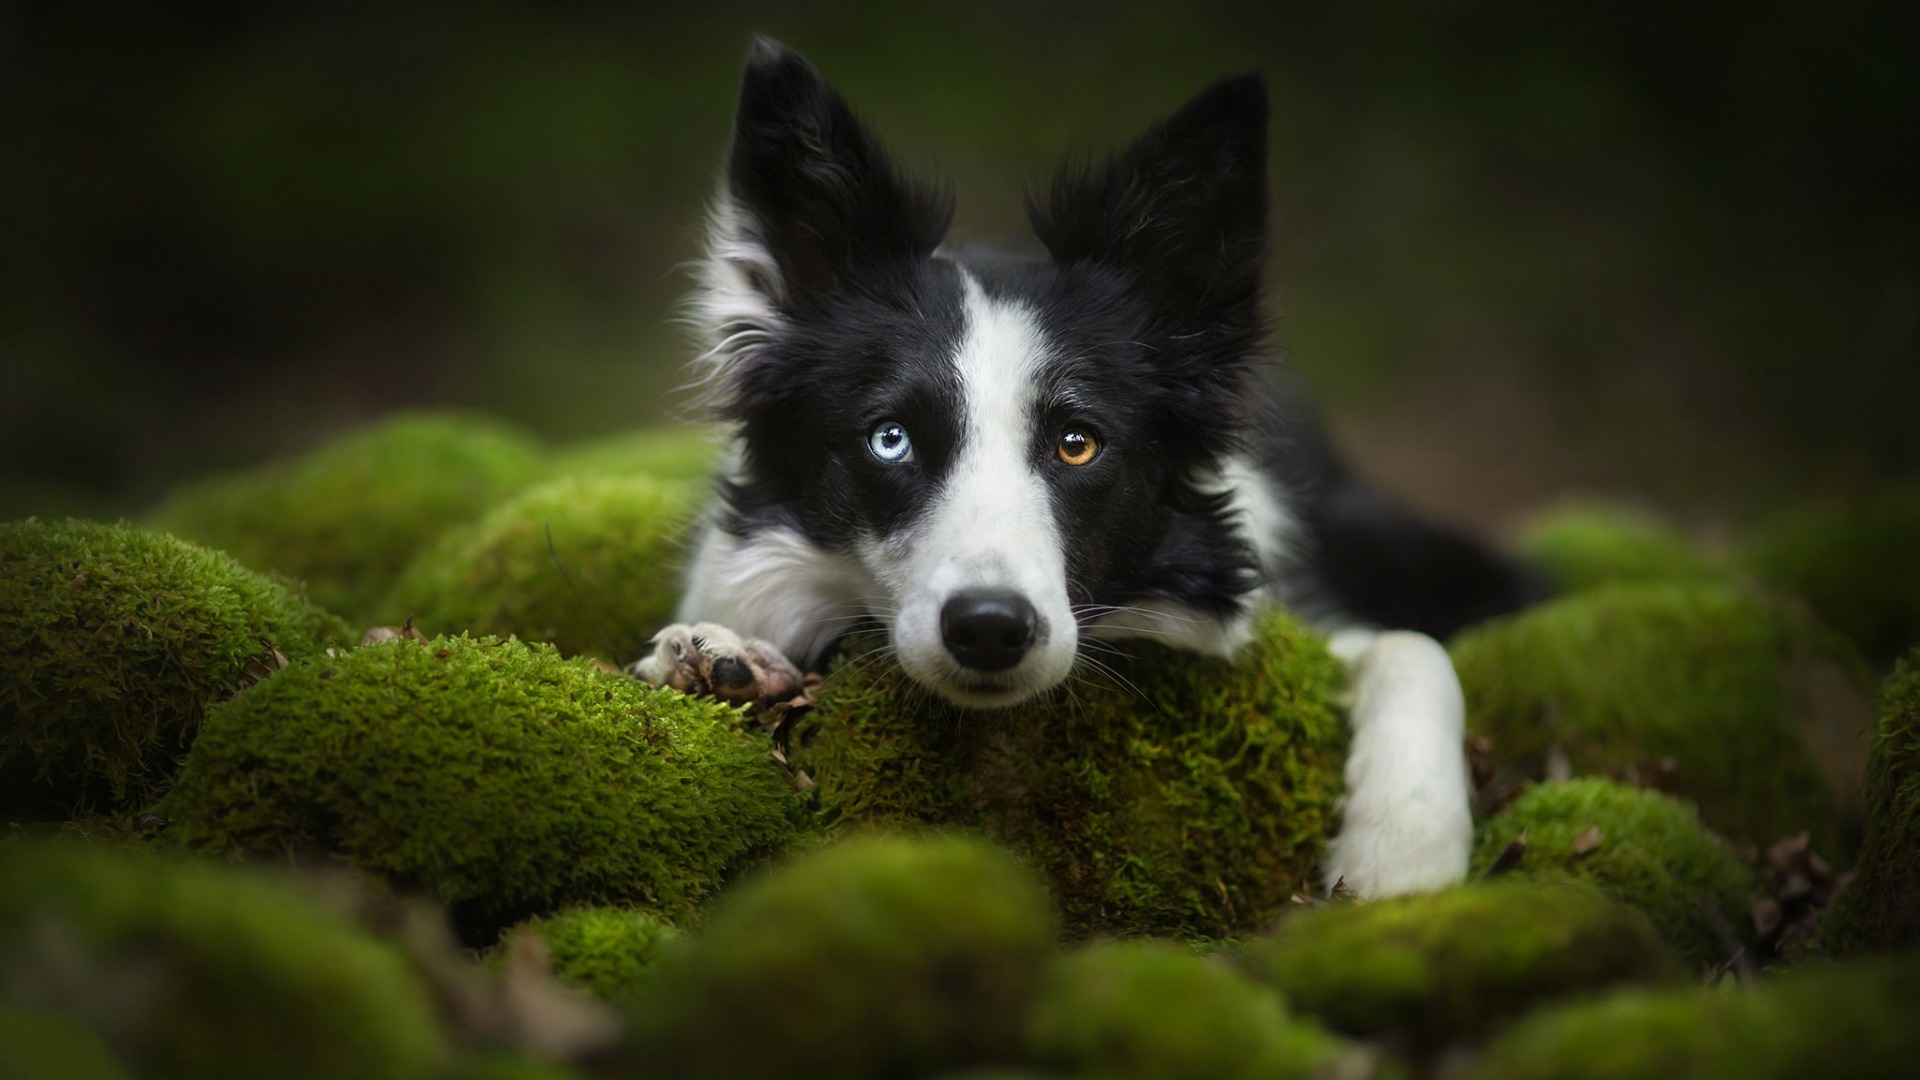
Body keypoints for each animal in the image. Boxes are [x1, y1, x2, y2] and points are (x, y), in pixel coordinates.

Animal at [637, 39, 1536, 891]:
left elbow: (1414, 650)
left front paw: (1404, 853)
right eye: (890, 439)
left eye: (1078, 442)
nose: (989, 629)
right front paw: (720, 661)